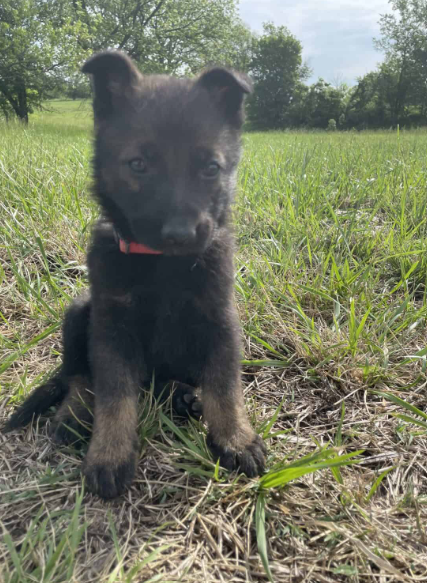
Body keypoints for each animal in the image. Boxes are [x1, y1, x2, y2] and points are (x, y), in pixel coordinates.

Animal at [5, 50, 268, 500]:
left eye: (210, 168)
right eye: (139, 165)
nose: (180, 235)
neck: (163, 263)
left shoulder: (220, 319)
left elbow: (225, 385)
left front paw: (235, 438)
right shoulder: (112, 327)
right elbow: (114, 396)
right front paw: (109, 454)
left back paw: (182, 397)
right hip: (79, 312)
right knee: (78, 377)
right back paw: (73, 416)